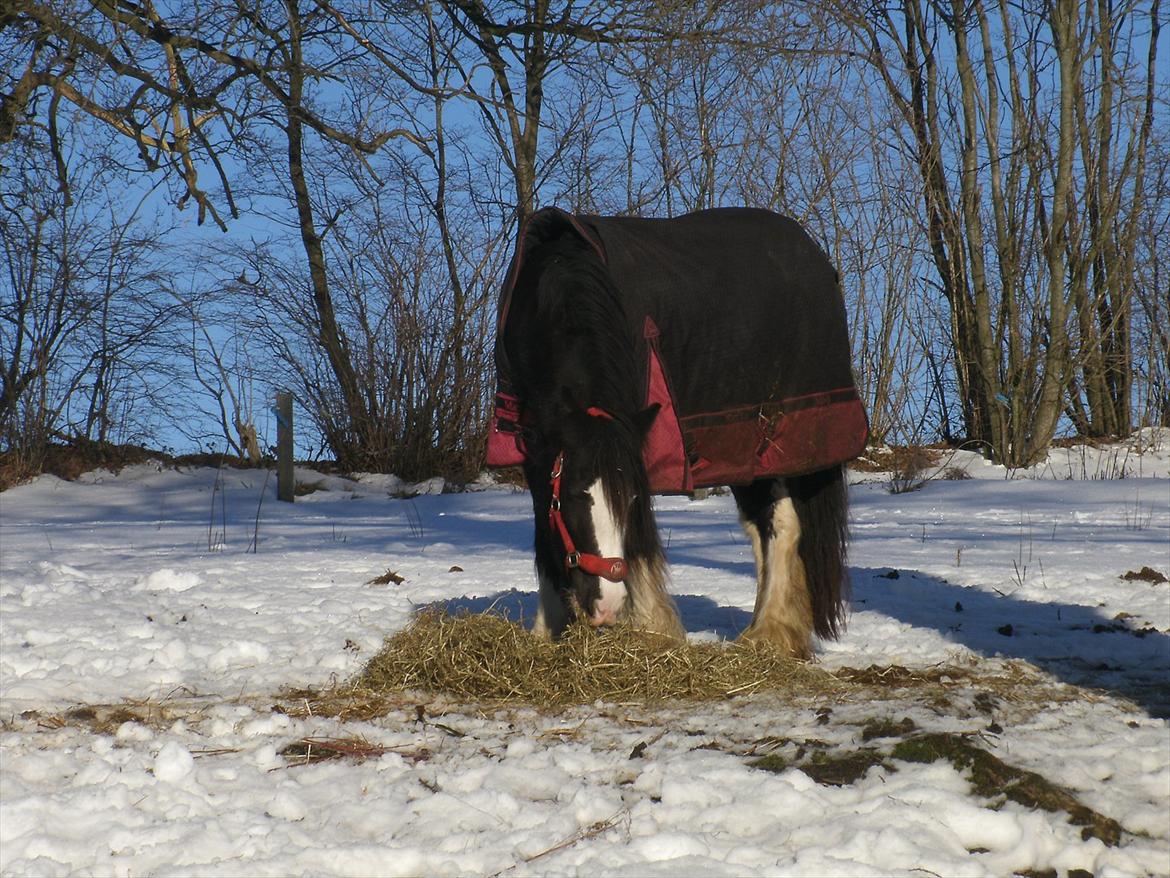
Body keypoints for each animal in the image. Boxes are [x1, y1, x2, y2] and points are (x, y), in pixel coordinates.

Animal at [486, 208, 870, 660]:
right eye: (577, 497)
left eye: (631, 501)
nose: (607, 605)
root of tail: (819, 260)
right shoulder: (534, 451)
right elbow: (545, 534)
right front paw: (546, 632)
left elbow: (640, 541)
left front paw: (652, 629)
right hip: (744, 454)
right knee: (763, 528)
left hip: (772, 443)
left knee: (783, 525)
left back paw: (768, 634)